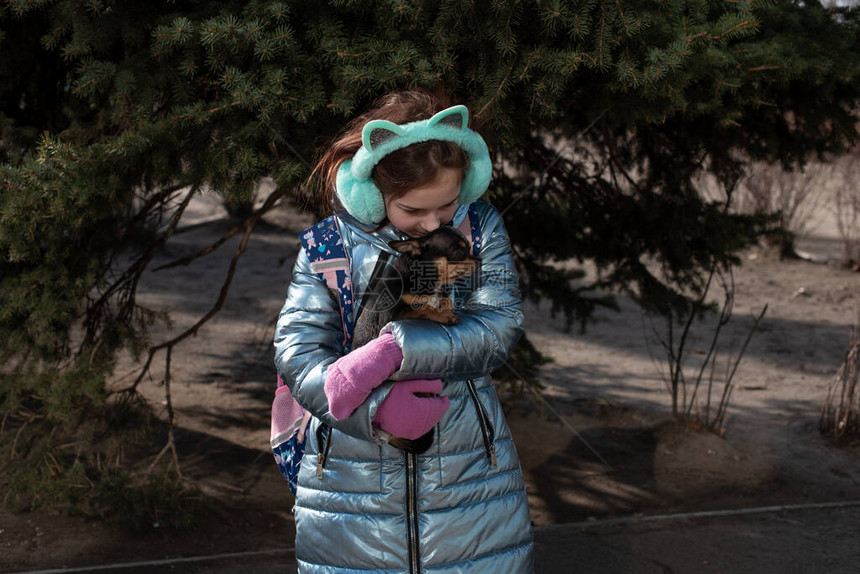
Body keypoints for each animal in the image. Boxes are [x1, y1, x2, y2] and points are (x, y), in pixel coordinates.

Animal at [352, 225, 484, 454]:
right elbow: (422, 307)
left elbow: (445, 300)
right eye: (459, 251)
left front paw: (445, 309)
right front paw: (443, 315)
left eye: (468, 247)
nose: (479, 260)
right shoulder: (393, 317)